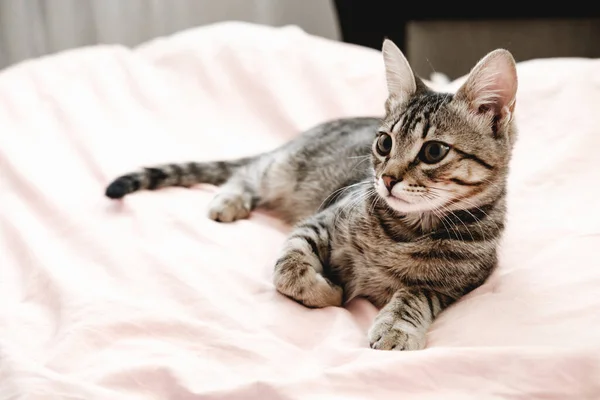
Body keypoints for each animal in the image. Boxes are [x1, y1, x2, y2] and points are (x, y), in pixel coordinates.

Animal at [106, 40, 516, 352]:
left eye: (433, 152)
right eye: (384, 143)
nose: (386, 178)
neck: (407, 230)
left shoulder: (458, 284)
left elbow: (414, 296)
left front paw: (396, 327)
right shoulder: (321, 221)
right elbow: (288, 269)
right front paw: (327, 292)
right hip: (281, 170)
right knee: (248, 170)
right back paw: (228, 200)